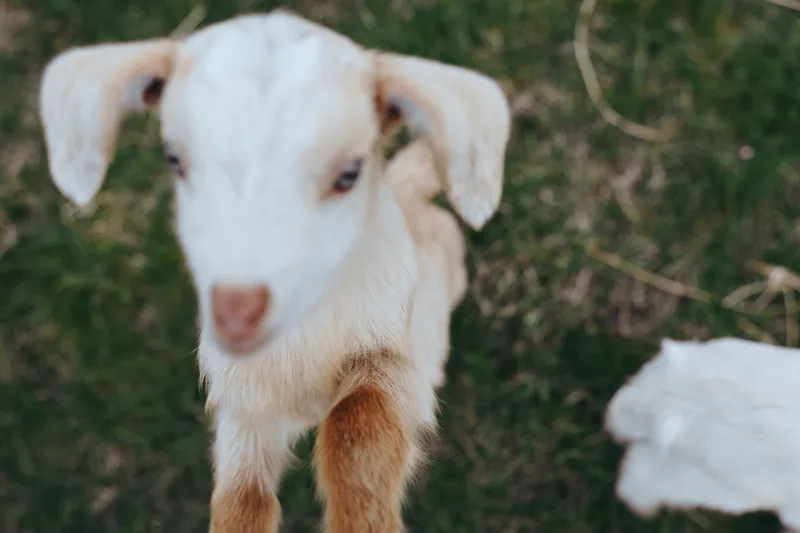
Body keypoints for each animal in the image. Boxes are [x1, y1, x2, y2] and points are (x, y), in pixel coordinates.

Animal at [38, 10, 511, 532]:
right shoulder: (244, 405)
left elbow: (358, 428)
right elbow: (242, 497)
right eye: (174, 160)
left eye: (349, 173)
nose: (237, 314)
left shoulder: (389, 351)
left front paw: (363, 520)